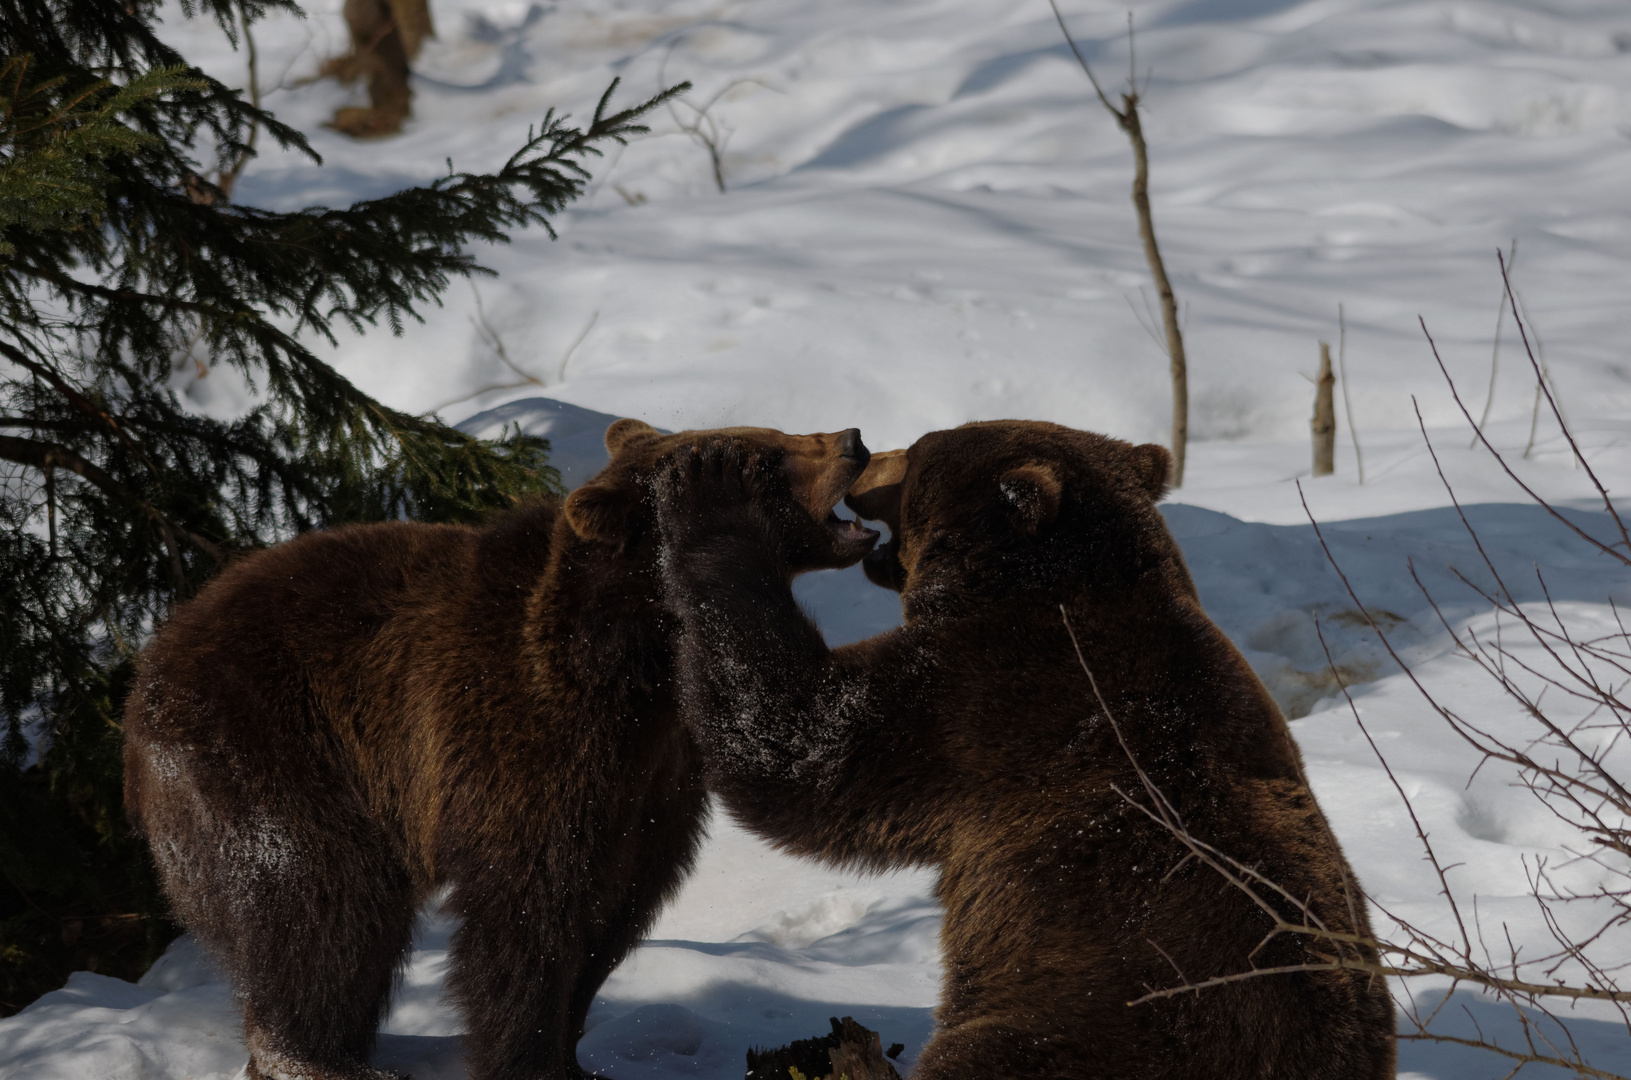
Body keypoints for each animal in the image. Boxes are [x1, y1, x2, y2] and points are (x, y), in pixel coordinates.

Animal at [123, 417, 880, 1080]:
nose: (853, 440)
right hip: (273, 747)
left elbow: (614, 907)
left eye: (776, 435)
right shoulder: (517, 737)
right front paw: (525, 1057)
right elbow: (524, 913)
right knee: (318, 902)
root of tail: (147, 672)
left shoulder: (651, 781)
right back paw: (319, 1057)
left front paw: (576, 1053)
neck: (639, 668)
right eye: (764, 457)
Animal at [655, 420, 1396, 1080]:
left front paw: (713, 491)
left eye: (920, 451)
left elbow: (801, 744)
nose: (868, 453)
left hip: (1078, 1025)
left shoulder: (983, 701)